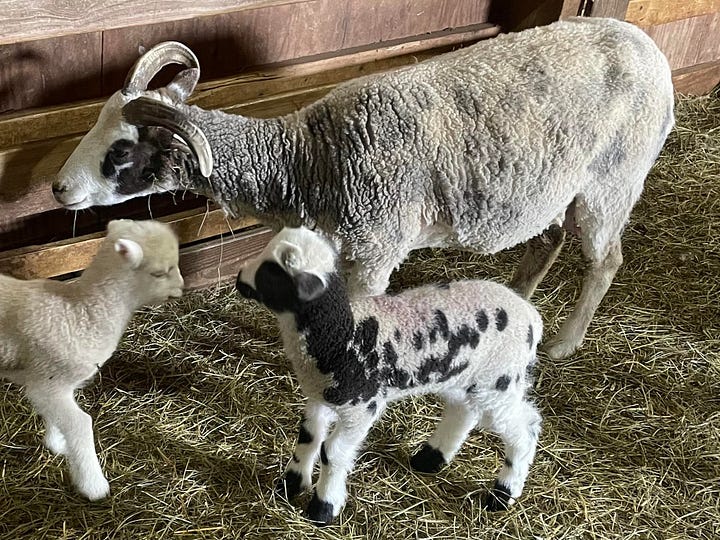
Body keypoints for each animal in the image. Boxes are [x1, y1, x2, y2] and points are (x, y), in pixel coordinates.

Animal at [0, 219, 184, 500]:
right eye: (159, 273)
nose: (182, 288)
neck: (81, 311)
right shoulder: (49, 382)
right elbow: (80, 424)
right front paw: (93, 485)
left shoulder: (48, 385)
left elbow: (56, 418)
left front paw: (56, 444)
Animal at [51, 17, 675, 360]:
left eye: (121, 150)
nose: (59, 189)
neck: (310, 157)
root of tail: (647, 46)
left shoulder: (377, 248)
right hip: (548, 186)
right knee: (547, 242)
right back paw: (520, 304)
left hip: (613, 181)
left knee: (606, 259)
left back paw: (566, 341)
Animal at [235, 226, 543, 525]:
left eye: (270, 272)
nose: (239, 278)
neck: (342, 336)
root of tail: (531, 316)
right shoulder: (322, 396)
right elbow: (309, 435)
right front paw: (290, 485)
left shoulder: (362, 407)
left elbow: (331, 452)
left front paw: (323, 509)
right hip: (463, 376)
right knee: (463, 410)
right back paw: (430, 459)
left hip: (499, 380)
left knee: (525, 428)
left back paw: (503, 494)